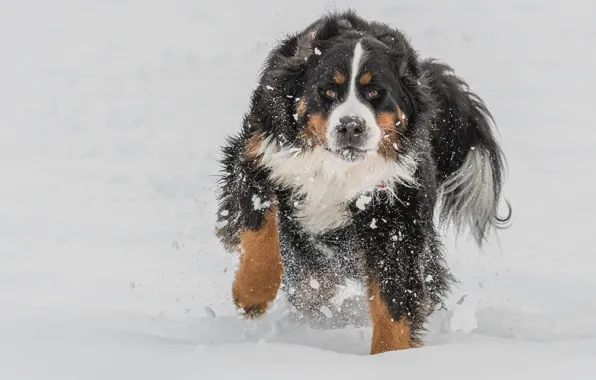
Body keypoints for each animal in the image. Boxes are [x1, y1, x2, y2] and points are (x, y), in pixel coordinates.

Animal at [213, 10, 508, 354]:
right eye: (327, 91)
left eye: (375, 93)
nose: (351, 126)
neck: (336, 169)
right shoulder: (259, 158)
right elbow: (260, 229)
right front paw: (251, 294)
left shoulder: (394, 214)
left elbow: (394, 297)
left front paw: (390, 356)